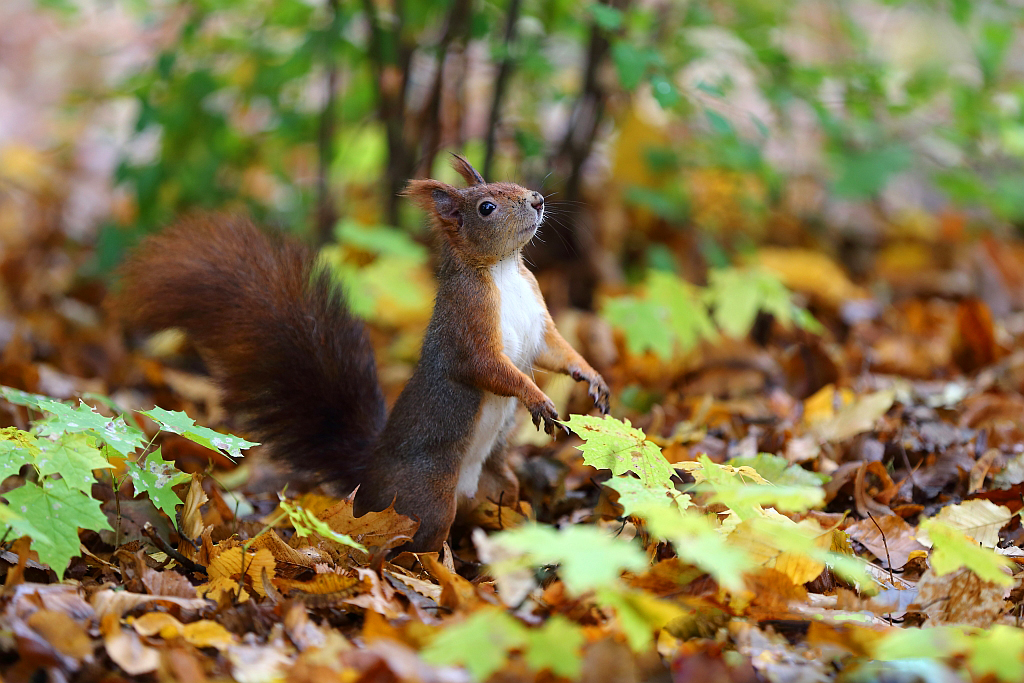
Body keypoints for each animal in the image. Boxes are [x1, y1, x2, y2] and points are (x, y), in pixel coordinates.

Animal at [114, 154, 606, 548]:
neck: (503, 270)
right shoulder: (467, 325)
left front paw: (591, 376)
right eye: (486, 207)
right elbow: (488, 367)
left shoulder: (537, 316)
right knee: (420, 542)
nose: (537, 199)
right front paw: (536, 398)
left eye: (512, 184)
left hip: (500, 483)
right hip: (427, 499)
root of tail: (368, 481)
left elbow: (554, 351)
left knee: (502, 508)